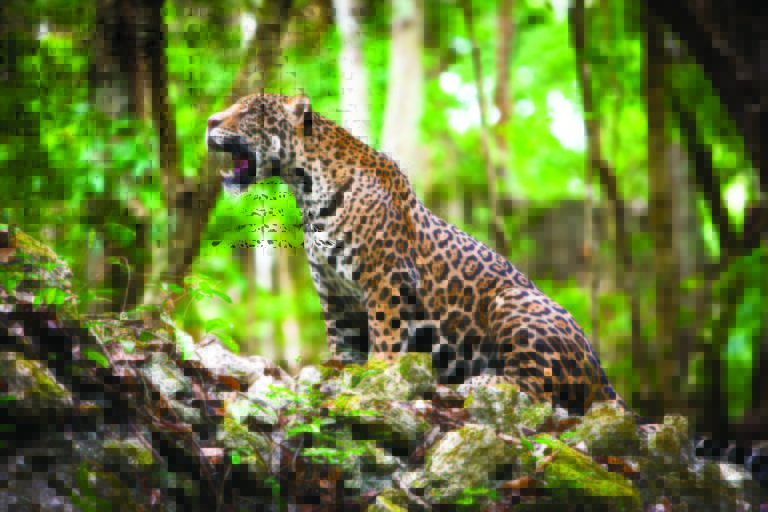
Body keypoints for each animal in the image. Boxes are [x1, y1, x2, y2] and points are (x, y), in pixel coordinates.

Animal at [206, 93, 765, 487]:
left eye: (251, 111)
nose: (211, 122)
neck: (306, 188)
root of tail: (601, 370)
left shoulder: (384, 283)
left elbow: (385, 343)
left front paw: (377, 380)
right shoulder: (336, 298)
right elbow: (343, 348)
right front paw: (340, 376)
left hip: (515, 305)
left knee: (541, 396)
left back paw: (475, 385)